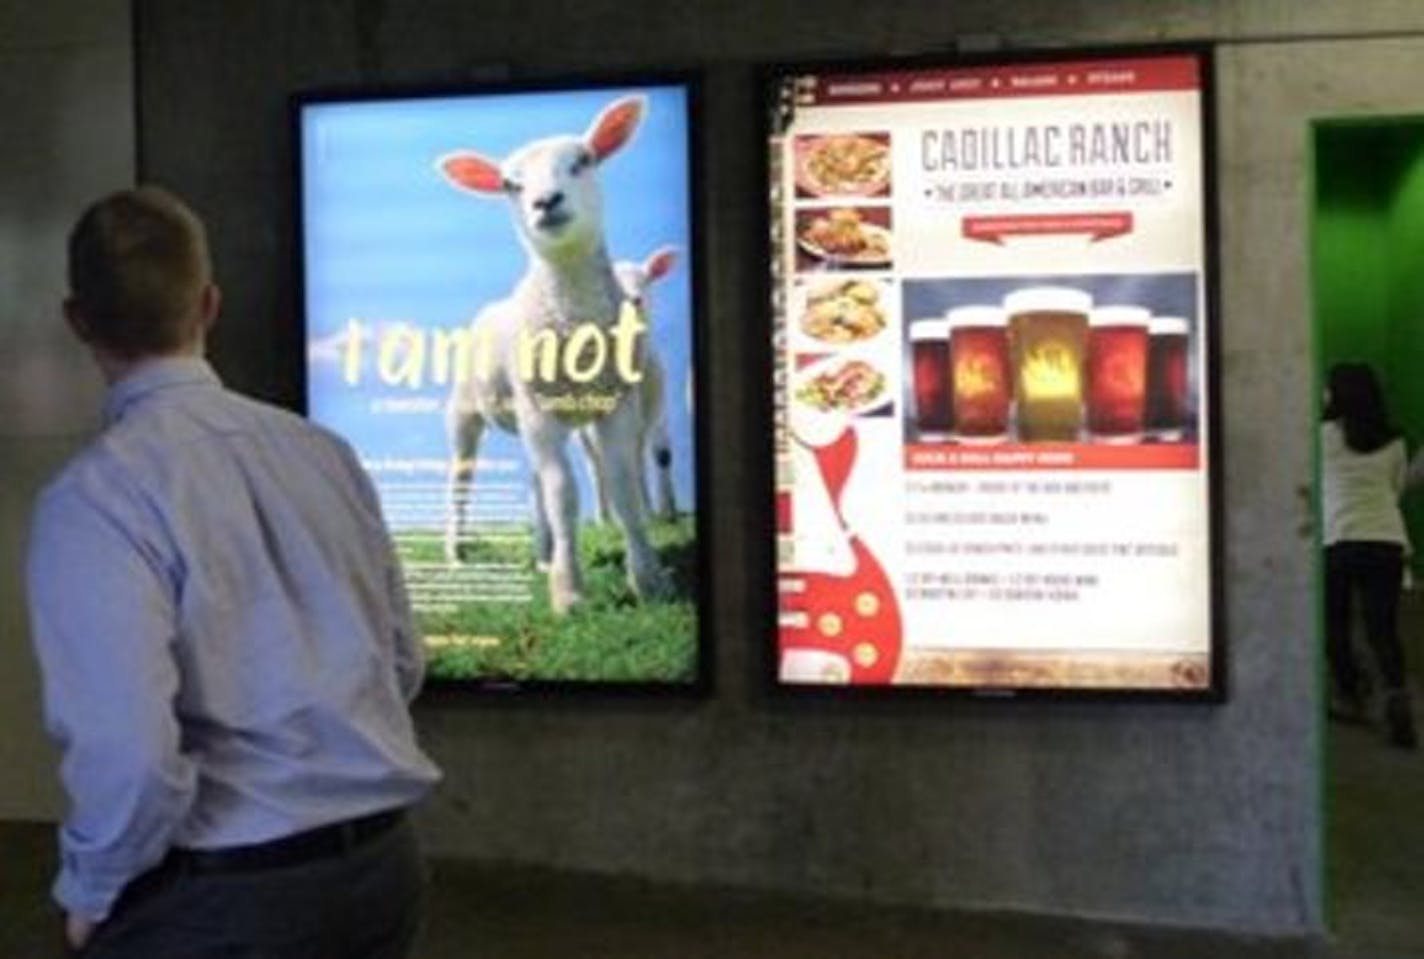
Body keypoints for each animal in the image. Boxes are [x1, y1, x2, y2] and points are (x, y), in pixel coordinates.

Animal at [432, 96, 666, 612]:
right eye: (509, 185)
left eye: (584, 160)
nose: (546, 202)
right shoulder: (541, 411)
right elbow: (564, 495)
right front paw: (570, 593)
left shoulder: (615, 404)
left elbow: (622, 484)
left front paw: (648, 580)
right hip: (468, 410)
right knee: (462, 478)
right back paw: (456, 552)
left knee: (535, 480)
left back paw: (543, 555)